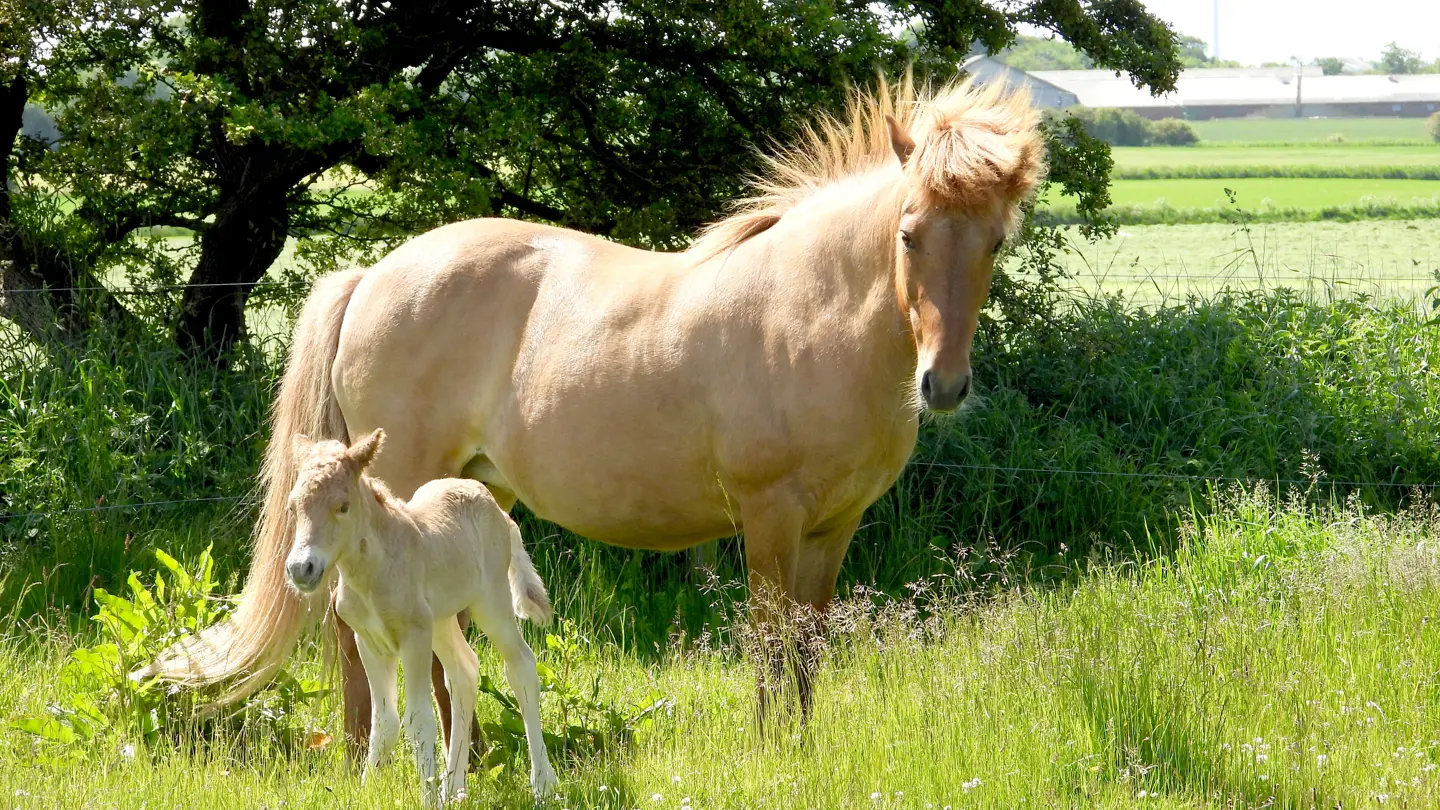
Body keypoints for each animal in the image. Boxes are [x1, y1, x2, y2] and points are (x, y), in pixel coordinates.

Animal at [138, 75, 1046, 751]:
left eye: (996, 241)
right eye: (908, 234)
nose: (943, 385)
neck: (809, 312)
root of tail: (372, 277)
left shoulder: (834, 527)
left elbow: (808, 648)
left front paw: (801, 746)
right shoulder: (769, 517)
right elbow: (768, 639)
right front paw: (770, 751)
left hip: (470, 494)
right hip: (388, 490)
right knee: (354, 621)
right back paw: (380, 751)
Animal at [284, 429, 558, 805]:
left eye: (343, 507)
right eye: (293, 506)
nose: (301, 569)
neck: (371, 573)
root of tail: (500, 513)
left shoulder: (413, 636)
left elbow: (417, 721)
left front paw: (427, 799)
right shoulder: (369, 641)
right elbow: (384, 722)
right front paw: (369, 789)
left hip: (490, 600)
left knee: (521, 666)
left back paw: (543, 785)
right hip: (441, 620)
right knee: (464, 671)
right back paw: (453, 789)